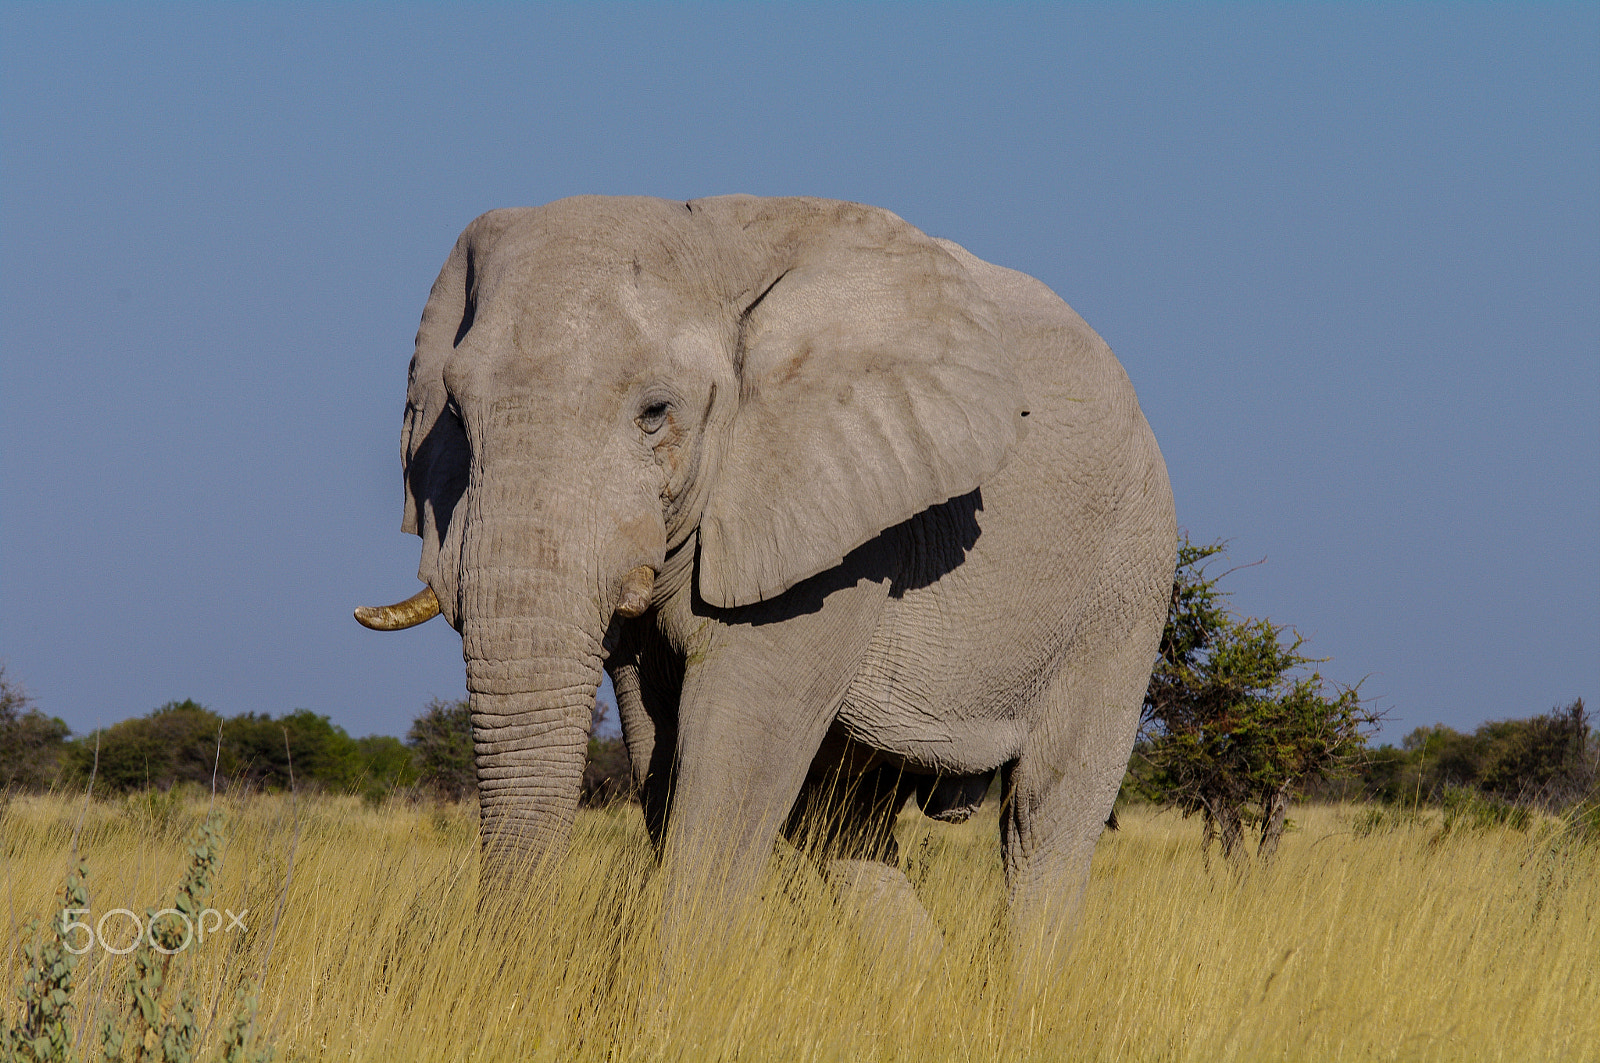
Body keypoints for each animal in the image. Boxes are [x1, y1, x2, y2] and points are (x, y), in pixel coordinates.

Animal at [357, 195, 1176, 951]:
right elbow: (663, 760)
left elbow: (733, 757)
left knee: (1044, 821)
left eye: (656, 412)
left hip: (1126, 581)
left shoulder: (835, 514)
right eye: (457, 416)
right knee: (842, 826)